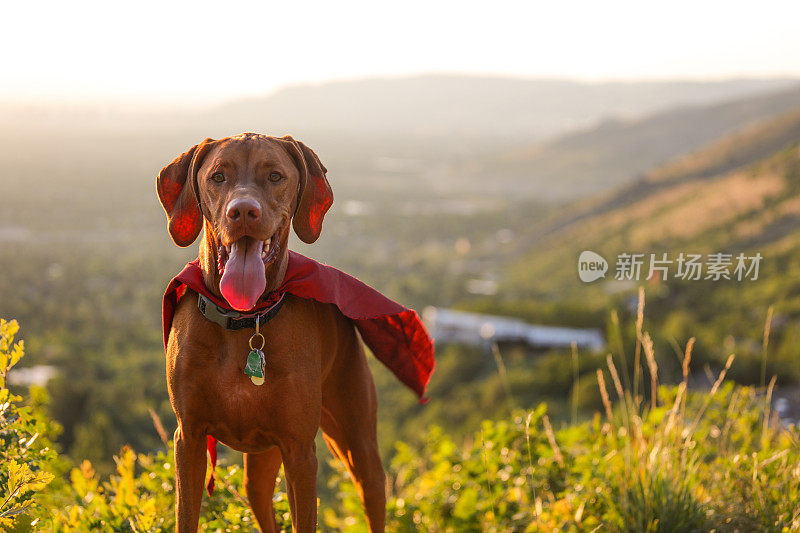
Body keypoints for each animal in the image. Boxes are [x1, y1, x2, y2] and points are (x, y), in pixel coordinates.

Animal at [157, 134, 388, 532]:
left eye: (276, 176)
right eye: (218, 176)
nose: (243, 212)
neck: (243, 320)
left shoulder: (300, 452)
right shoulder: (189, 438)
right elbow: (186, 516)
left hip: (357, 446)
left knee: (371, 486)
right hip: (261, 466)